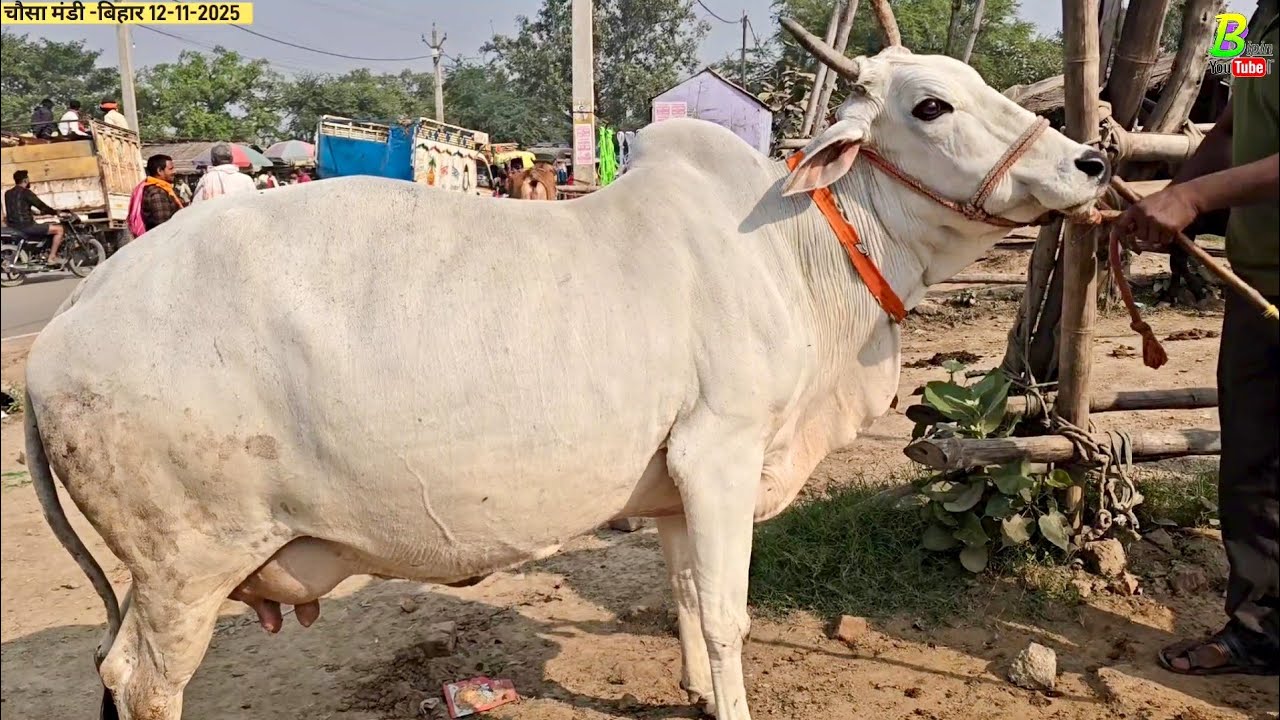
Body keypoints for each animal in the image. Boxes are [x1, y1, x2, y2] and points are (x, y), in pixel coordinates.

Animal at [23, 20, 1109, 720]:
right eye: (930, 106)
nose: (1090, 163)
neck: (799, 249)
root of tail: (67, 319)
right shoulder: (721, 454)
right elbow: (726, 616)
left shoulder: (676, 486)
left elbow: (684, 602)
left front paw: (694, 693)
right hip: (187, 562)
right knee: (140, 682)